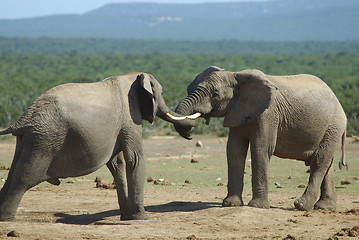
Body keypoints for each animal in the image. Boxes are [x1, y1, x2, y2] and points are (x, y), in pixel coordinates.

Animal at [0, 71, 194, 221]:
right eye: (160, 93)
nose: (190, 133)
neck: (133, 77)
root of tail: (23, 119)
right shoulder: (130, 117)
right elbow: (135, 158)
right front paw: (141, 218)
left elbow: (117, 163)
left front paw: (127, 217)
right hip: (45, 138)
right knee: (24, 176)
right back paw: (8, 219)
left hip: (30, 139)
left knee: (13, 172)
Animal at [172, 66, 348, 211]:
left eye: (215, 95)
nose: (189, 133)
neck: (236, 75)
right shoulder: (237, 111)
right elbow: (234, 150)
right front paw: (230, 204)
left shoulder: (268, 114)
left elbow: (260, 148)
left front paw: (257, 206)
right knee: (326, 163)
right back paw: (325, 207)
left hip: (333, 126)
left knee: (319, 161)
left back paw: (301, 205)